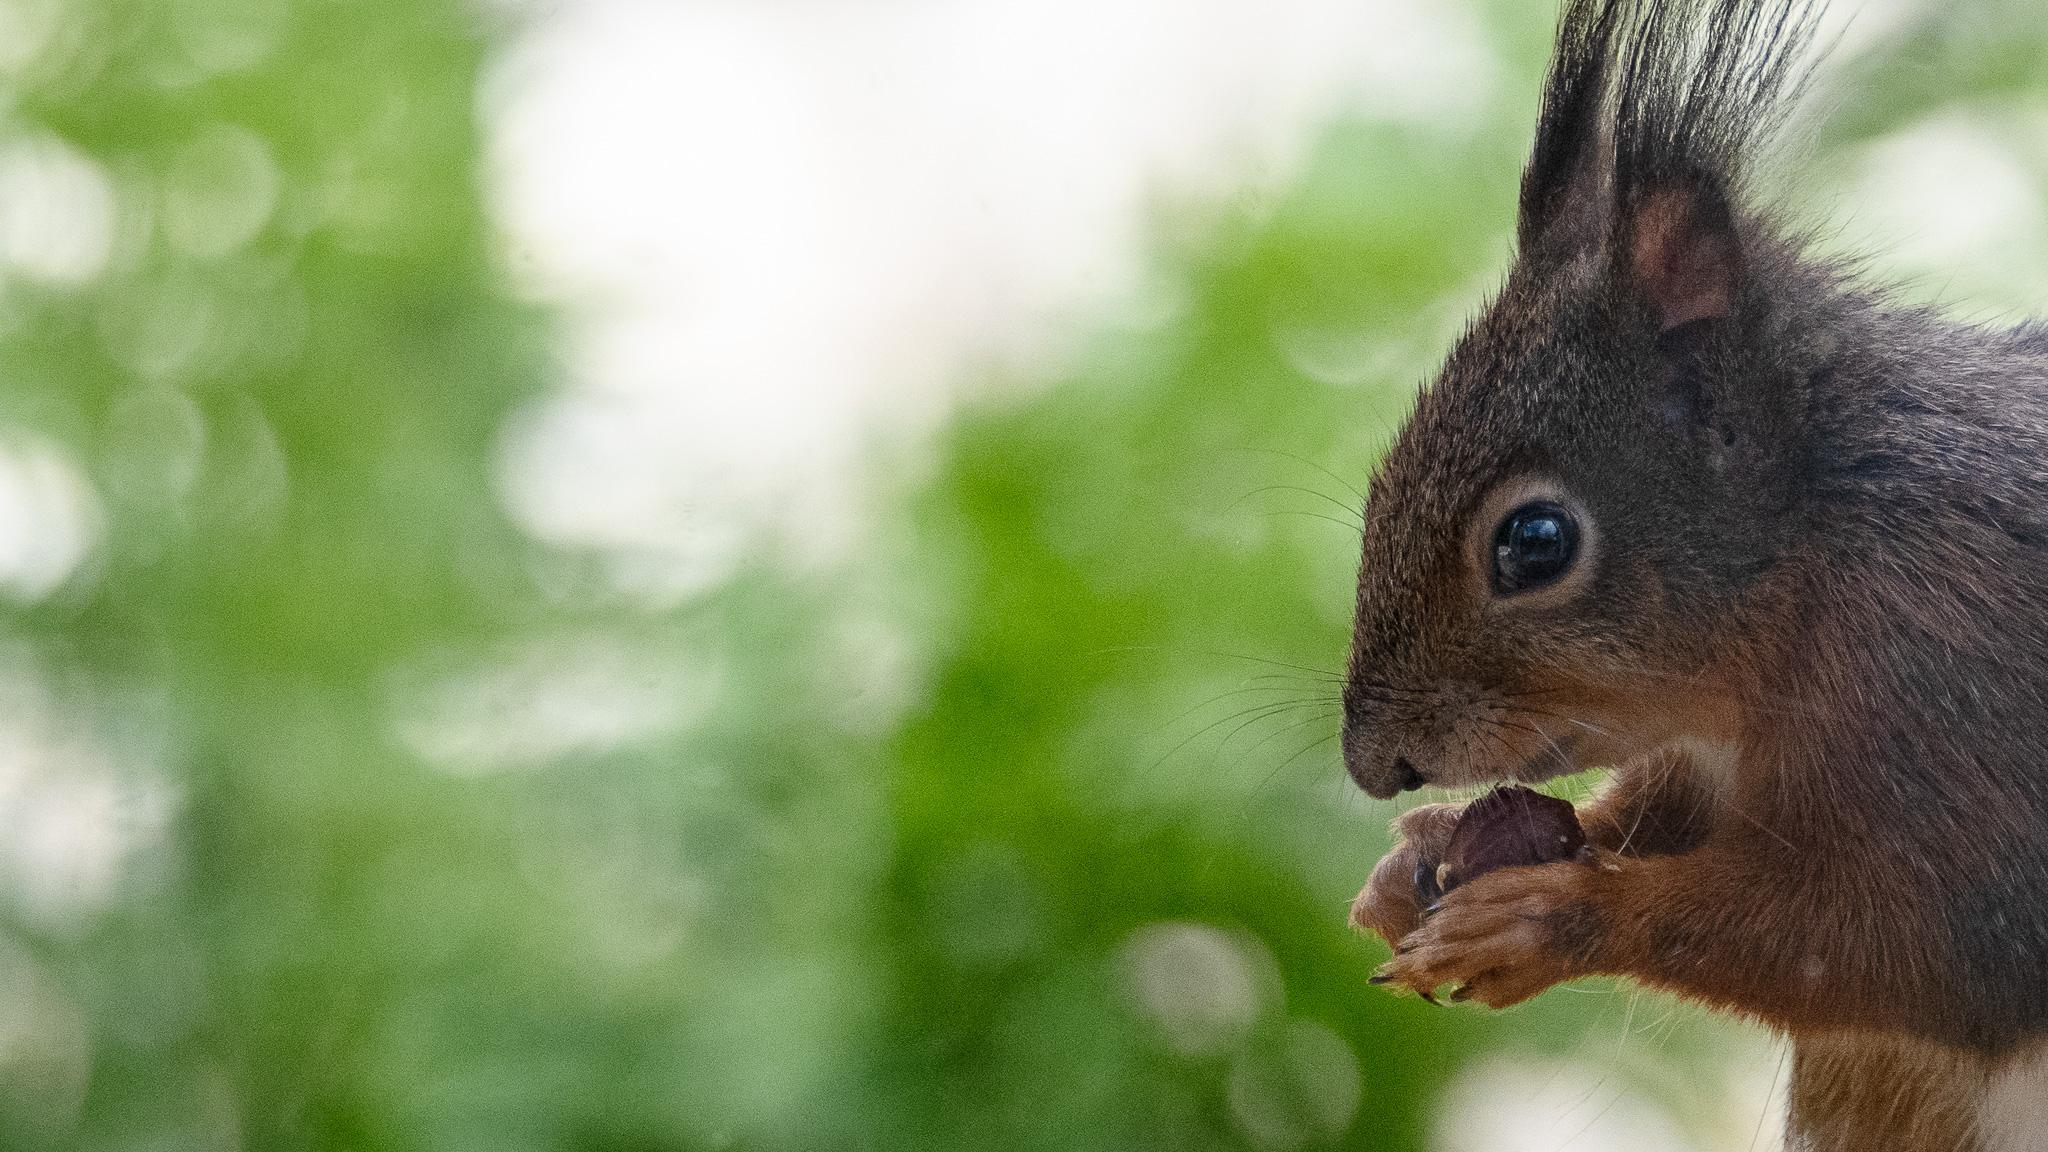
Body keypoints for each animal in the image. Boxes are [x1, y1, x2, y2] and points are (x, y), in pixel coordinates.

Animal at [1342, 1, 2048, 1149]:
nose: (1372, 766)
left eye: (1534, 542)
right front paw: (1423, 860)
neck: (1813, 545)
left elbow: (1919, 942)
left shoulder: (1952, 679)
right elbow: (1649, 816)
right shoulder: (1704, 758)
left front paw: (1552, 918)